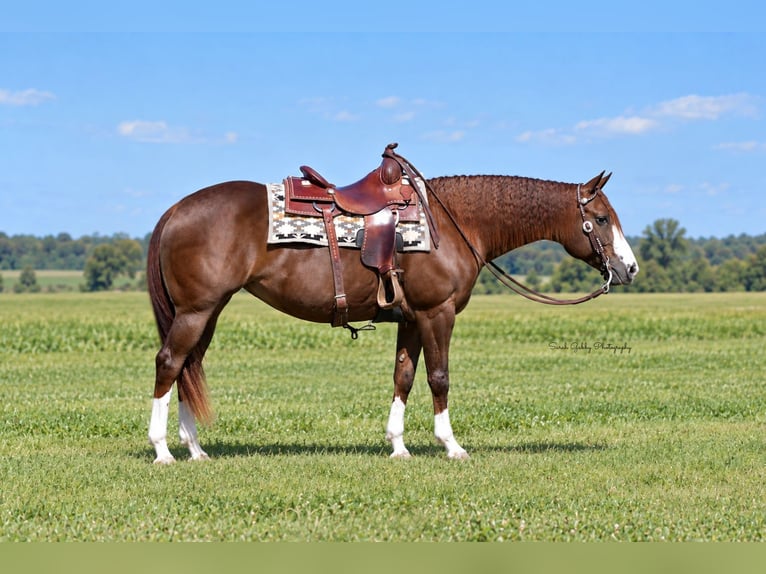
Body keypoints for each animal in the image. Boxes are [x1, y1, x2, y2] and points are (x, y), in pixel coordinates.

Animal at [146, 160, 639, 464]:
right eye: (601, 218)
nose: (629, 267)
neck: (453, 223)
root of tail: (175, 210)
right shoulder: (437, 313)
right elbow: (438, 378)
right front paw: (451, 445)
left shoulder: (413, 318)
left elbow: (403, 376)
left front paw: (398, 445)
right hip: (195, 311)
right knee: (169, 363)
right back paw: (163, 450)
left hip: (208, 312)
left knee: (189, 367)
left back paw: (195, 449)